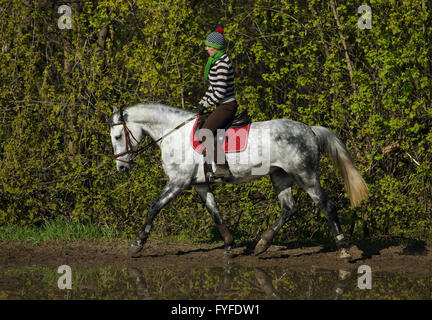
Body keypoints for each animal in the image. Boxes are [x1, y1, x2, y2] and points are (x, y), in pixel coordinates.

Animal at [109, 104, 368, 258]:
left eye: (118, 136)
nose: (121, 167)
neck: (175, 134)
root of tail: (309, 130)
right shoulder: (200, 184)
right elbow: (215, 214)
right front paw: (229, 244)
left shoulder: (178, 182)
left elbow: (154, 207)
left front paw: (138, 243)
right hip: (280, 176)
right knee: (288, 208)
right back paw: (262, 244)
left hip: (306, 175)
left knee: (327, 206)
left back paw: (343, 249)